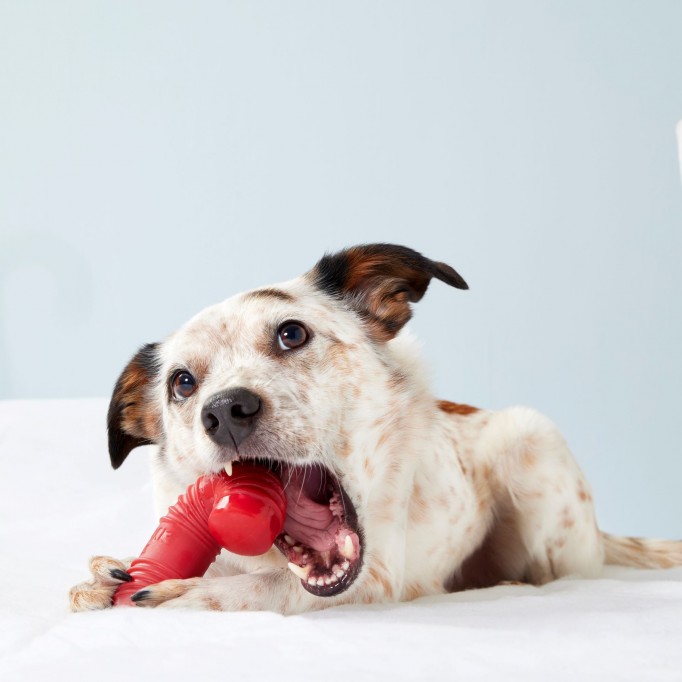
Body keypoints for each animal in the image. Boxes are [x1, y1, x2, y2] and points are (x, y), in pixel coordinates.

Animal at [70, 243, 680, 612]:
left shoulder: (377, 576)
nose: (224, 411)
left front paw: (186, 592)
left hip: (532, 440)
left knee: (559, 575)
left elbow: (265, 585)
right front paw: (111, 573)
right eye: (182, 383)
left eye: (292, 333)